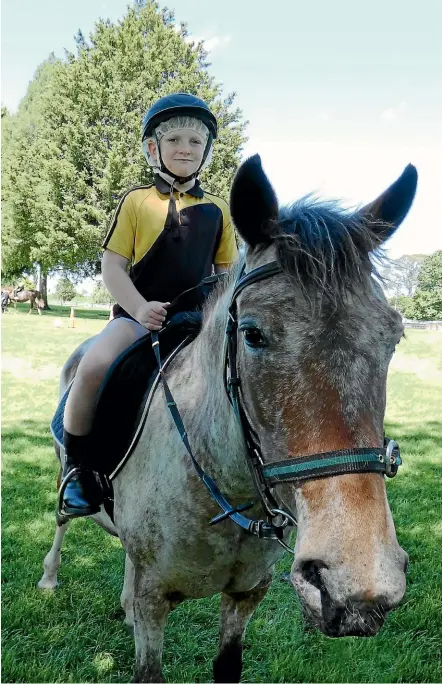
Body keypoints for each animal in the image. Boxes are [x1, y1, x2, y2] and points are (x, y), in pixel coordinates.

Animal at [38, 158, 418, 680]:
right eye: (253, 334)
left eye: (394, 336)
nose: (357, 585)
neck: (227, 493)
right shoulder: (156, 600)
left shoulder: (246, 593)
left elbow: (227, 663)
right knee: (62, 520)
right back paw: (49, 576)